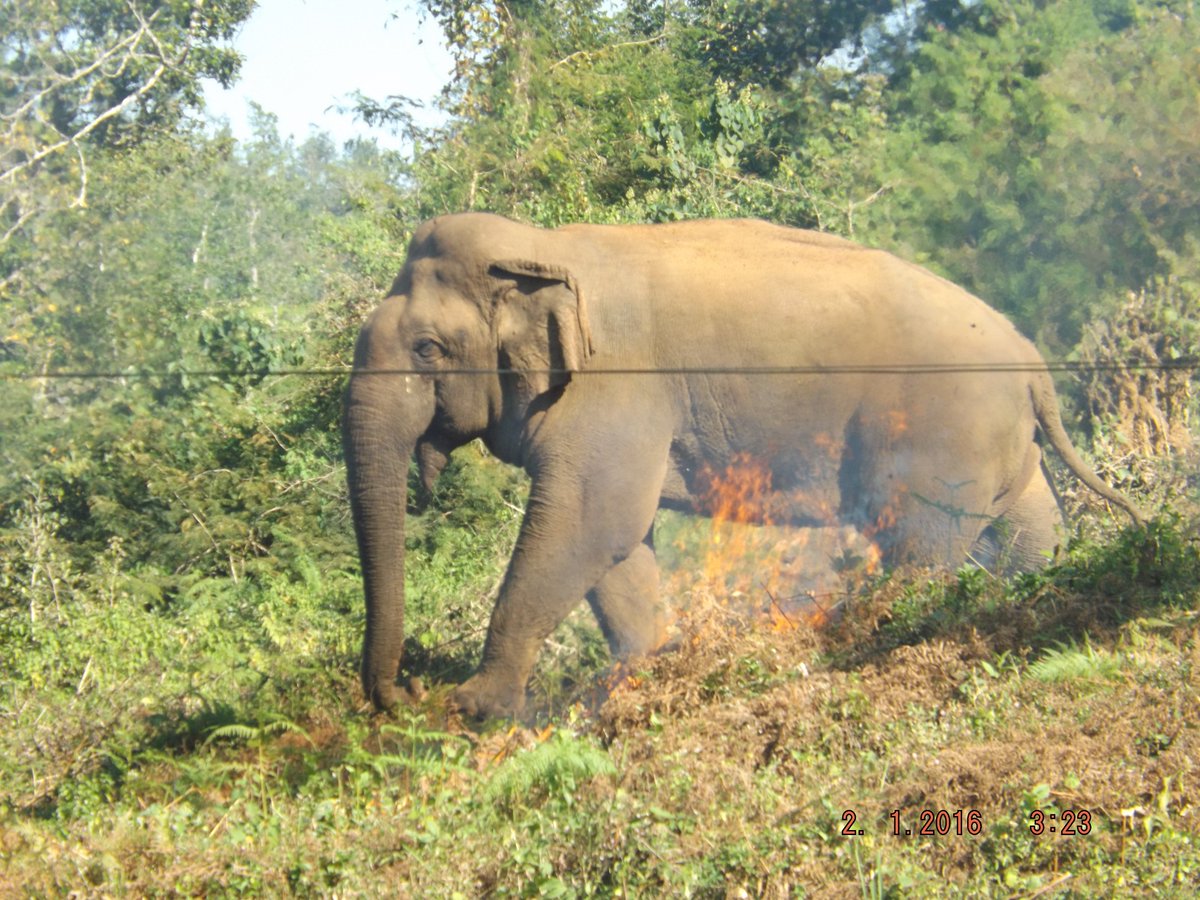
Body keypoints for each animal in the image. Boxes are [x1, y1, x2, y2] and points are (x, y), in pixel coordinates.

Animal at [343, 212, 1143, 719]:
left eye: (426, 349)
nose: (407, 695)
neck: (539, 245)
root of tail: (1033, 360)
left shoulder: (616, 387)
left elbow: (590, 520)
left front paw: (477, 708)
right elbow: (618, 544)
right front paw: (644, 669)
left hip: (943, 438)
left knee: (919, 552)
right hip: (1006, 453)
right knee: (1026, 540)